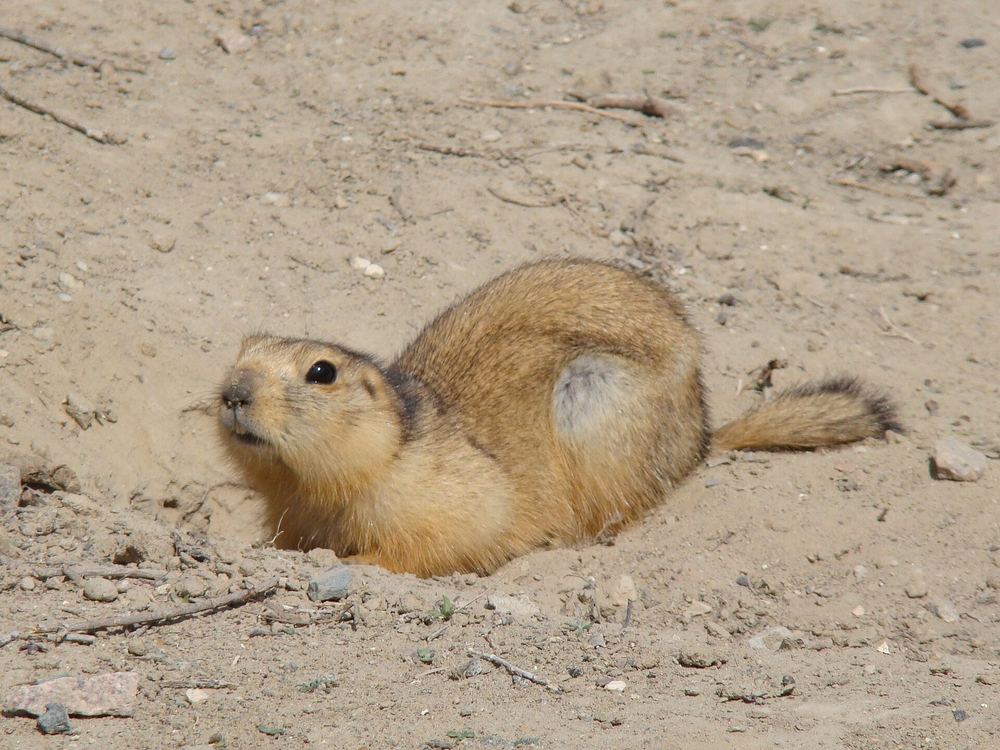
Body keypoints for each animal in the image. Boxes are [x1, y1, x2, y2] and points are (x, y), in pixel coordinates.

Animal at [218, 259, 899, 577]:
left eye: (321, 372)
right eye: (241, 349)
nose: (233, 392)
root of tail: (702, 433)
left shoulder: (441, 489)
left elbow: (452, 533)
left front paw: (355, 564)